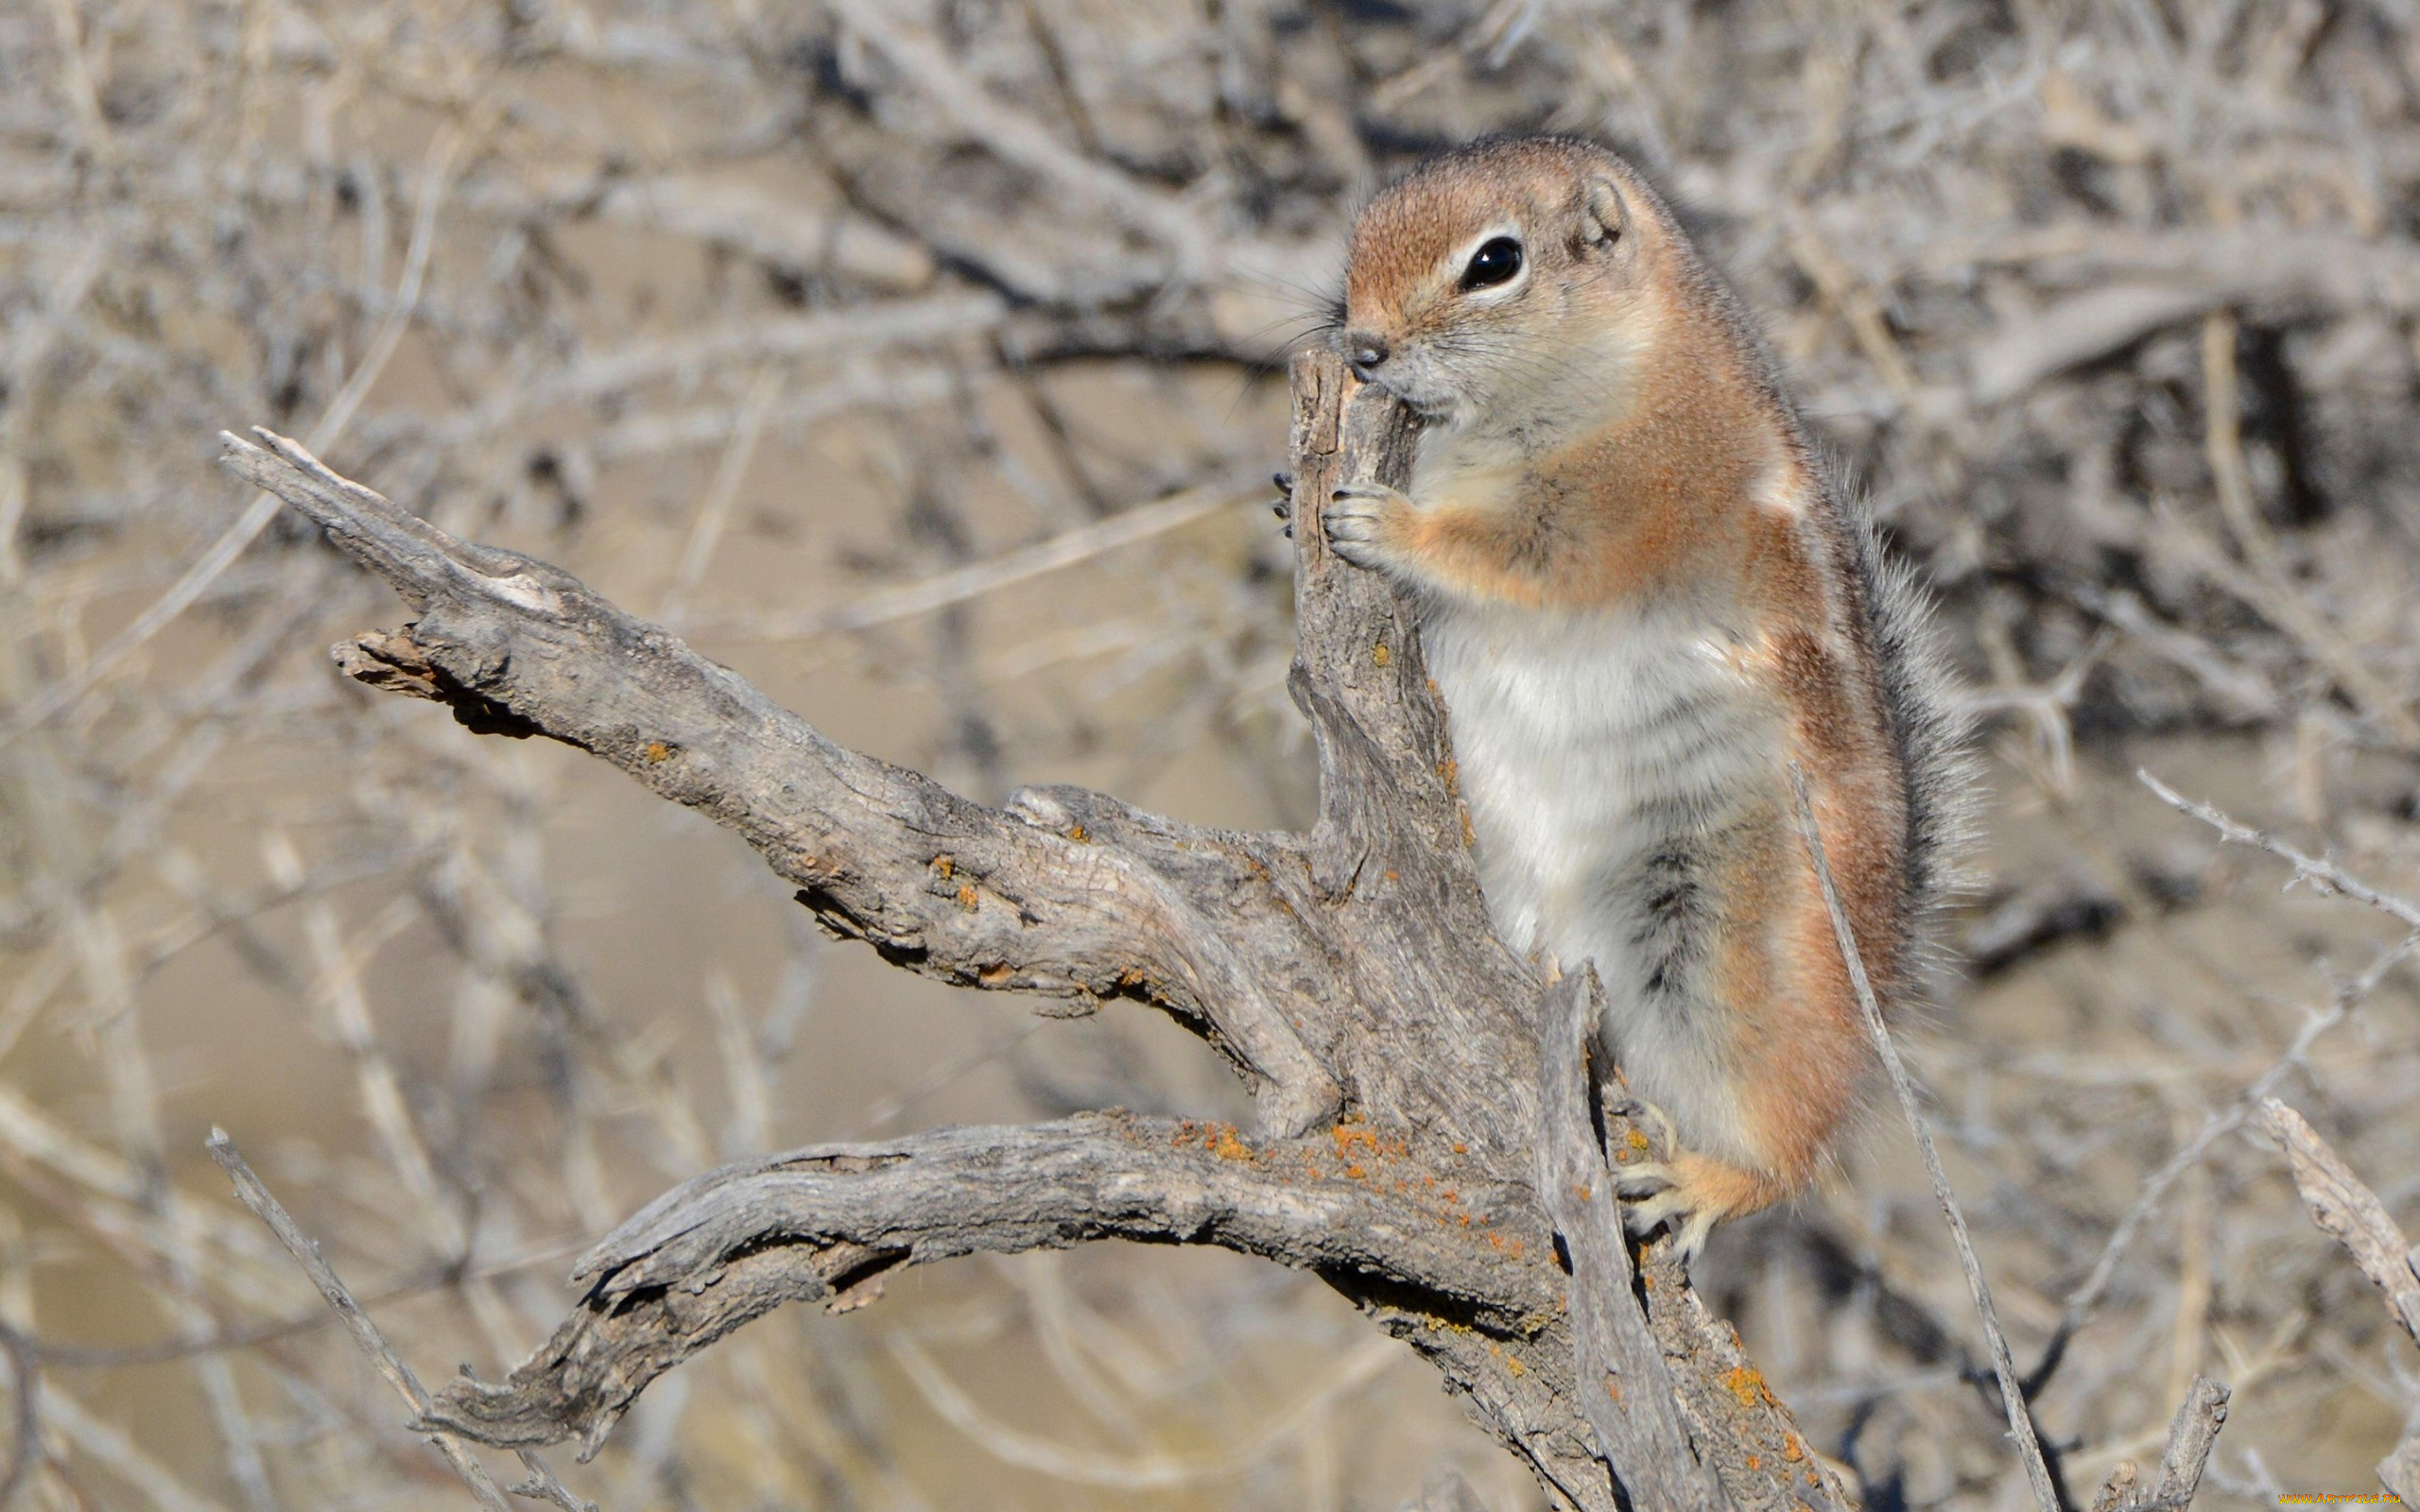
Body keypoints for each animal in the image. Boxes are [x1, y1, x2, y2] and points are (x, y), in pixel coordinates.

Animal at [1316, 138, 1974, 1247]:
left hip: (1721, 954)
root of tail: (1882, 977)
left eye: (1494, 262)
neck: (1626, 367)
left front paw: (1391, 525)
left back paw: (1706, 1180)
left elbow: (1511, 555)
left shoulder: (1625, 509)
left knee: (1792, 1140)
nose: (1362, 348)